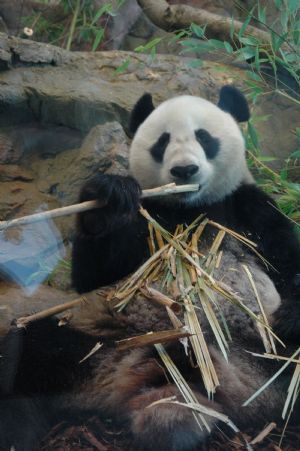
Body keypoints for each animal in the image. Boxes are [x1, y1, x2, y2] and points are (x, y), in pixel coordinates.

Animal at [0, 85, 298, 451]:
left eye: (203, 137)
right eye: (163, 142)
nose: (184, 171)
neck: (188, 208)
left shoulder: (252, 208)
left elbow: (286, 267)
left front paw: (289, 314)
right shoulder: (146, 214)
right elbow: (91, 276)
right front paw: (110, 198)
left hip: (260, 362)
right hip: (95, 346)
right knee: (26, 356)